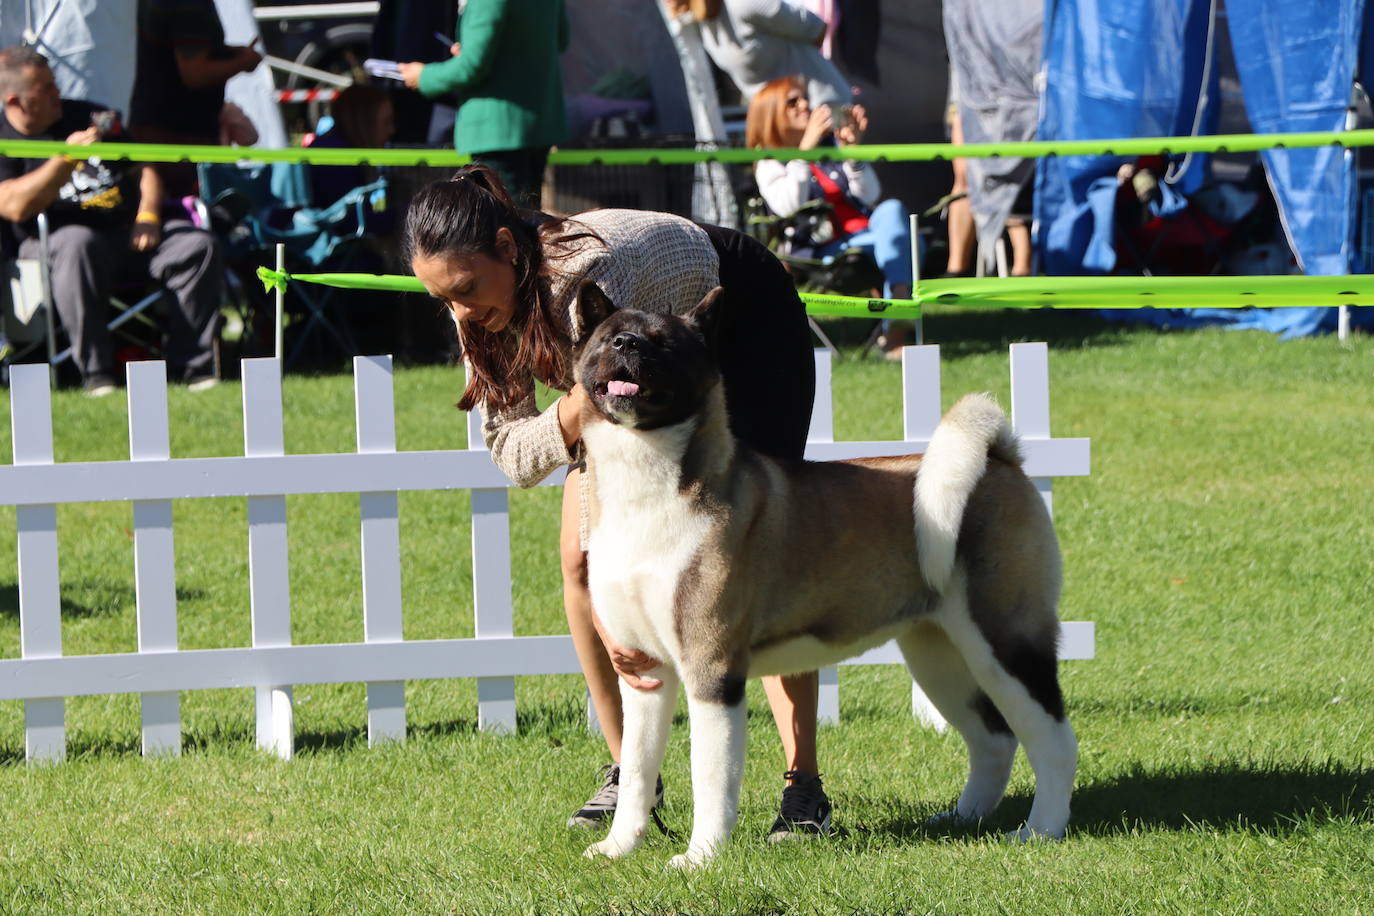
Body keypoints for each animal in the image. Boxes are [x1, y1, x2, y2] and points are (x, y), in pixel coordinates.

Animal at [574, 282, 1077, 873]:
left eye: (665, 343)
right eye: (610, 337)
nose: (628, 344)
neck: (649, 488)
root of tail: (1001, 459)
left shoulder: (712, 672)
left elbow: (710, 777)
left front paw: (700, 859)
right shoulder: (644, 673)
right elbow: (636, 772)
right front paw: (618, 848)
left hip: (1004, 644)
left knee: (1053, 740)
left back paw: (1040, 830)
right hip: (940, 655)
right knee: (993, 739)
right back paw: (963, 819)